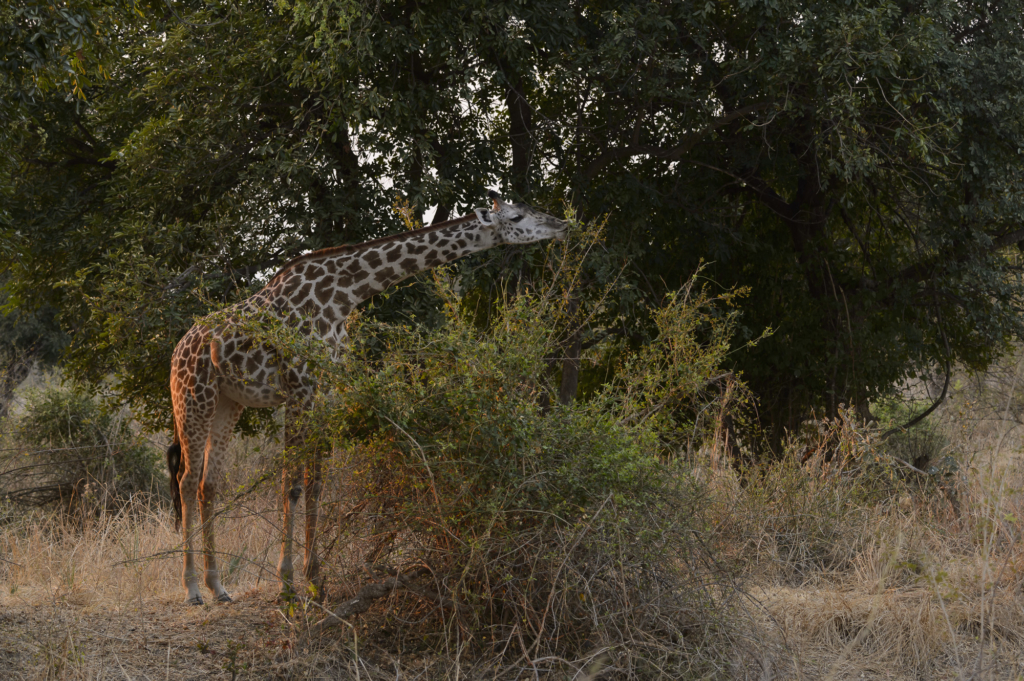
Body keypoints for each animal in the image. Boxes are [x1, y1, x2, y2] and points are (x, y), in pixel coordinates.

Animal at [167, 188, 569, 602]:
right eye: (517, 217)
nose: (562, 224)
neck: (345, 295)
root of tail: (178, 350)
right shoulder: (298, 388)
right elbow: (291, 484)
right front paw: (287, 583)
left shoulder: (324, 391)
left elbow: (316, 482)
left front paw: (316, 580)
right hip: (193, 399)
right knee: (186, 479)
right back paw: (193, 588)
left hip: (228, 404)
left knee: (208, 484)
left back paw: (218, 586)